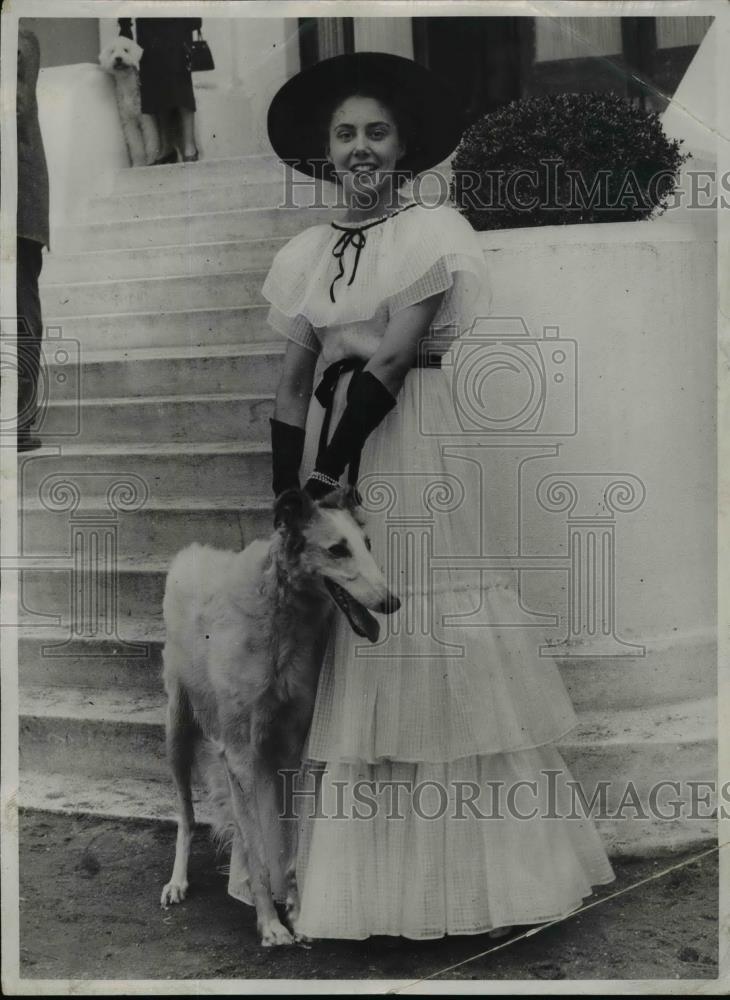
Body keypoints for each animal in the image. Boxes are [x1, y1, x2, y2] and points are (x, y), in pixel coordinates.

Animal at [97, 37, 153, 168]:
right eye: (112, 51)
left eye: (126, 50)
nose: (118, 58)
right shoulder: (128, 121)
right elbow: (135, 145)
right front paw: (139, 164)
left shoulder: (146, 118)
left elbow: (151, 139)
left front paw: (152, 159)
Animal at [159, 488, 398, 948]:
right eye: (337, 549)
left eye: (367, 545)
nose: (392, 602)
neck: (279, 615)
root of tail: (192, 554)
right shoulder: (238, 753)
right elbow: (256, 849)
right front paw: (270, 924)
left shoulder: (290, 746)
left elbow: (288, 843)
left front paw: (297, 913)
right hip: (178, 729)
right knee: (186, 815)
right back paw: (177, 882)